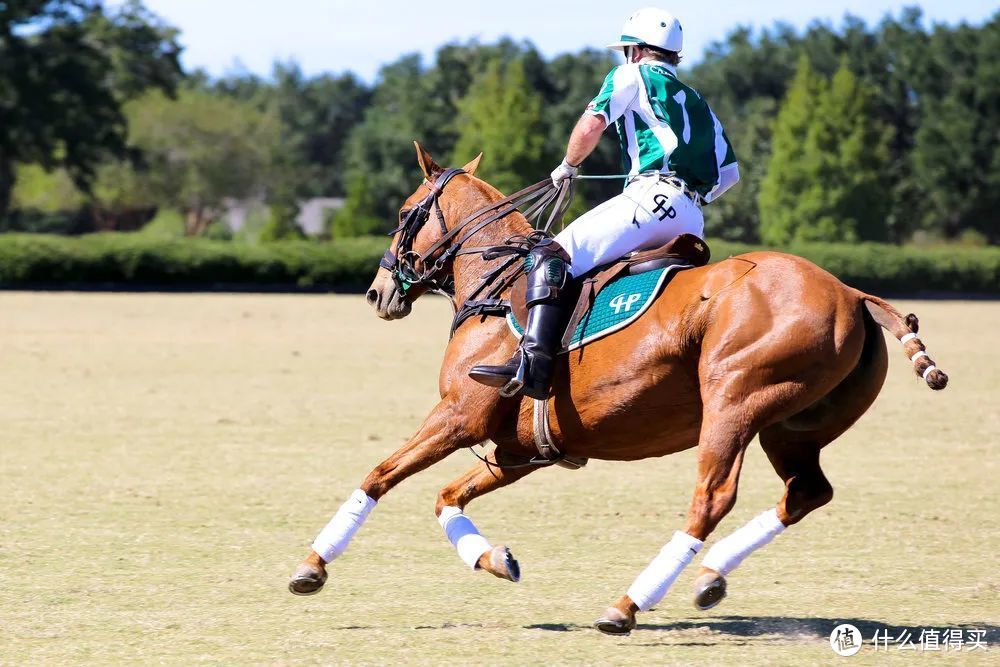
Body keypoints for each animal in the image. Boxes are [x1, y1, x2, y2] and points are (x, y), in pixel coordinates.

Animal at [288, 146, 944, 636]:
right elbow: (446, 495)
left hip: (735, 401)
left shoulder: (458, 417)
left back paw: (627, 605)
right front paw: (494, 559)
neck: (495, 285)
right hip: (791, 426)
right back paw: (710, 577)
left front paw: (311, 567)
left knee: (711, 499)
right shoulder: (521, 449)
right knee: (807, 491)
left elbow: (380, 474)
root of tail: (853, 294)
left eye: (406, 213)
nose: (377, 293)